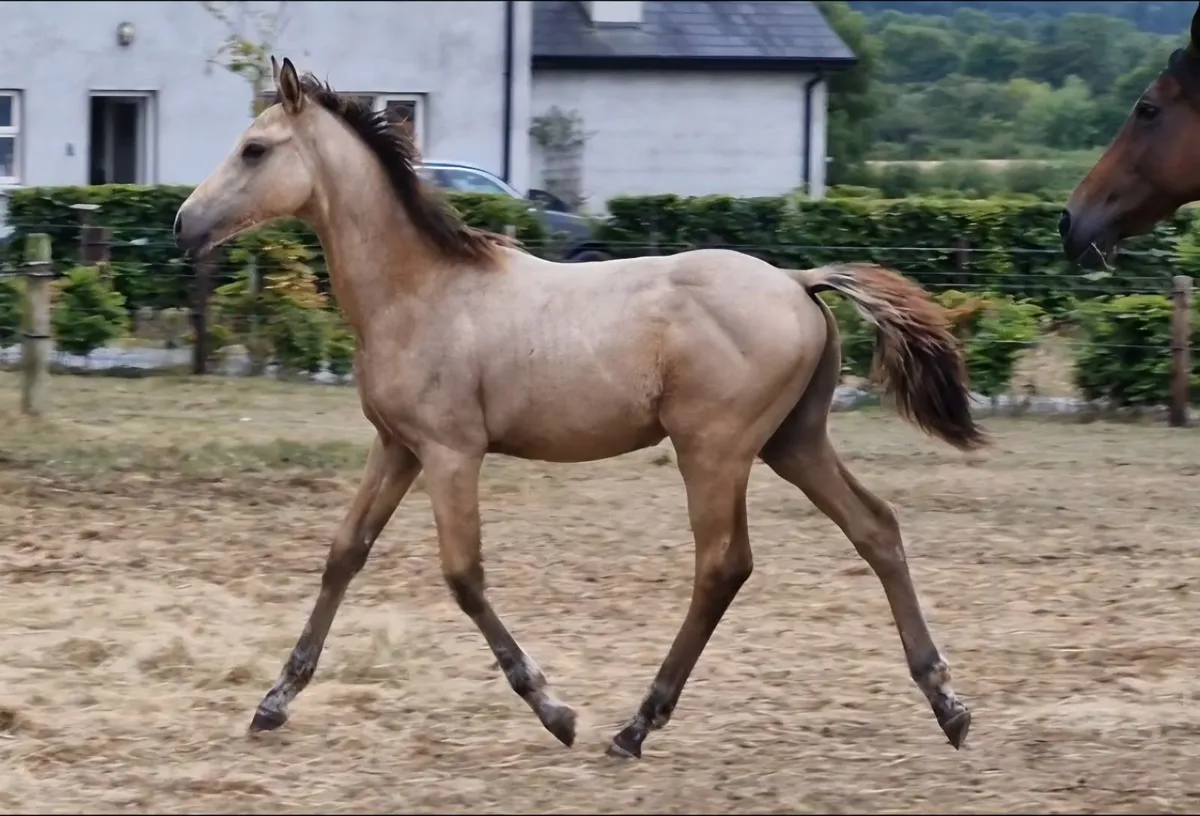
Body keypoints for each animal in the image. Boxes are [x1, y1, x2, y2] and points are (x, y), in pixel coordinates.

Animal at [173, 56, 986, 759]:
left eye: (253, 148)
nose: (184, 223)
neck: (419, 290)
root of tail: (797, 281)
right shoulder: (398, 446)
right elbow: (345, 553)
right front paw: (273, 702)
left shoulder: (451, 453)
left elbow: (464, 575)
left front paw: (554, 711)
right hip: (794, 440)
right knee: (875, 528)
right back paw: (948, 705)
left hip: (714, 449)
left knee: (723, 565)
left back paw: (636, 725)